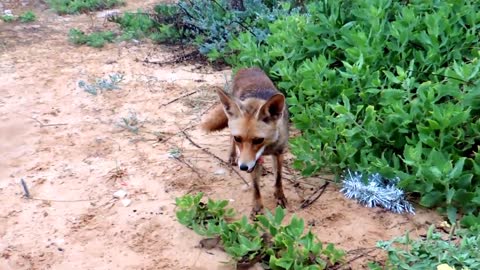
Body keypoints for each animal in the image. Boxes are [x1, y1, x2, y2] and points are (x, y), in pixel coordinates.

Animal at [200, 67, 288, 219]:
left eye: (258, 140)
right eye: (239, 139)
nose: (243, 167)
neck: (267, 148)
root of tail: (248, 67)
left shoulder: (278, 153)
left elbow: (278, 179)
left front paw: (279, 196)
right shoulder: (252, 161)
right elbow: (256, 188)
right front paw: (257, 207)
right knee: (229, 136)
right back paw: (232, 155)